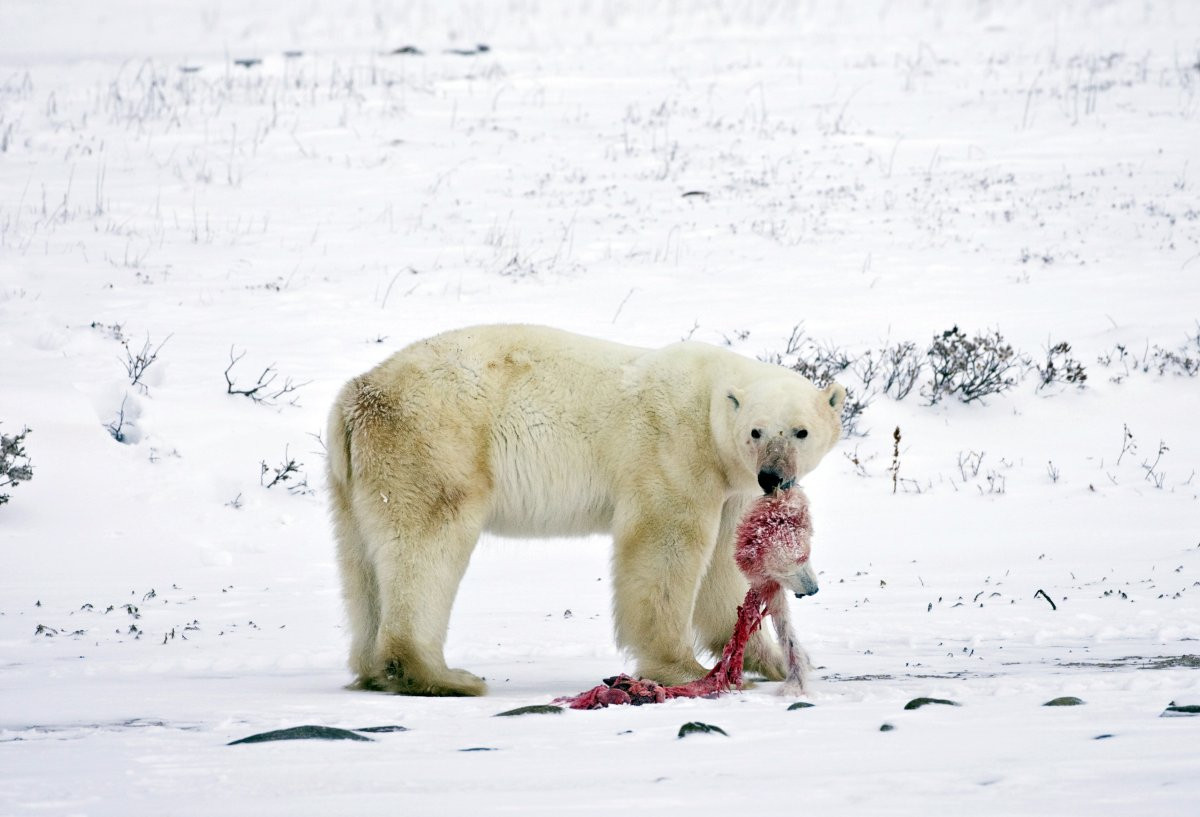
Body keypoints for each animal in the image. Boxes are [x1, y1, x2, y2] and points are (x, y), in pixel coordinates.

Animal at [328, 323, 844, 695]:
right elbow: (665, 546)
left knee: (362, 564)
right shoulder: (674, 450)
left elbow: (723, 567)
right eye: (757, 430)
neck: (710, 401)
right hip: (434, 444)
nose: (773, 477)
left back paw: (374, 669)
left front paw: (774, 660)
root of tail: (357, 395)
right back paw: (442, 676)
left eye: (800, 431)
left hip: (355, 477)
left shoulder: (730, 485)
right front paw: (683, 668)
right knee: (426, 547)